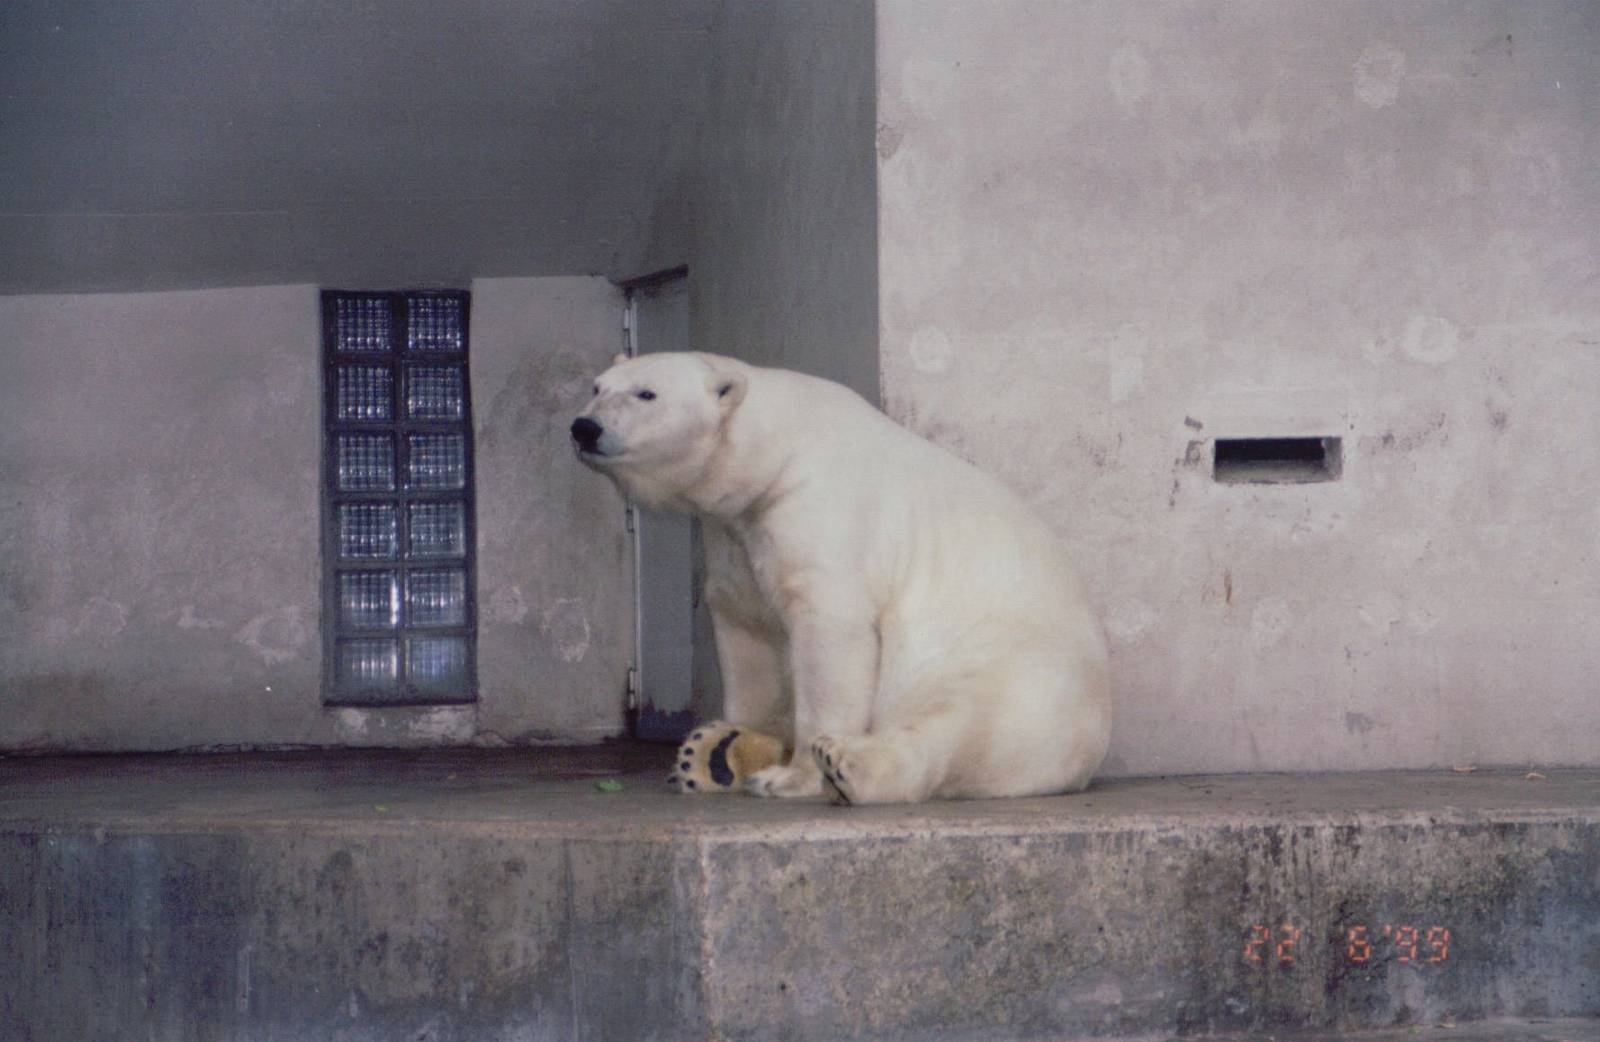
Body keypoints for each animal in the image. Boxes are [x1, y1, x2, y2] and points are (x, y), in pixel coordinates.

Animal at [571, 351, 1110, 804]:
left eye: (647, 393)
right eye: (597, 387)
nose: (584, 427)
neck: (778, 451)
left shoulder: (823, 510)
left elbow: (829, 636)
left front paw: (792, 776)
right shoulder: (735, 536)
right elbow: (746, 632)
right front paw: (735, 739)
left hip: (1012, 671)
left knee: (957, 721)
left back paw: (849, 766)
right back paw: (709, 754)